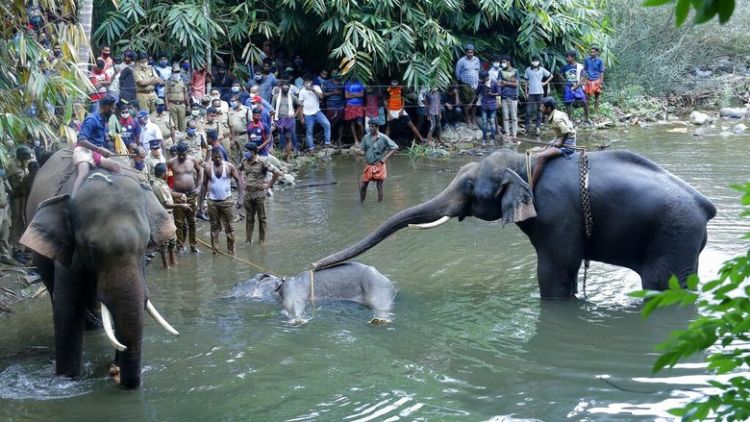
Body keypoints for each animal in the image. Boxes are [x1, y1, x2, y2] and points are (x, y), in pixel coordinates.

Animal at [20, 148, 179, 390]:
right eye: (90, 248)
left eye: (145, 244)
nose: (117, 374)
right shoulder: (69, 252)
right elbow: (67, 309)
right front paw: (67, 380)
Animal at [231, 262, 400, 324]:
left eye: (238, 284)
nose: (234, 284)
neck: (280, 283)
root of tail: (394, 288)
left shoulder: (292, 289)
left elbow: (293, 304)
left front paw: (298, 320)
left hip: (377, 289)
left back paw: (379, 320)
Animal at [314, 150, 720, 298]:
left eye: (468, 186)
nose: (316, 266)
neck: (527, 162)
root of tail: (705, 207)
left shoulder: (557, 213)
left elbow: (557, 268)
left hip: (674, 234)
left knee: (664, 285)